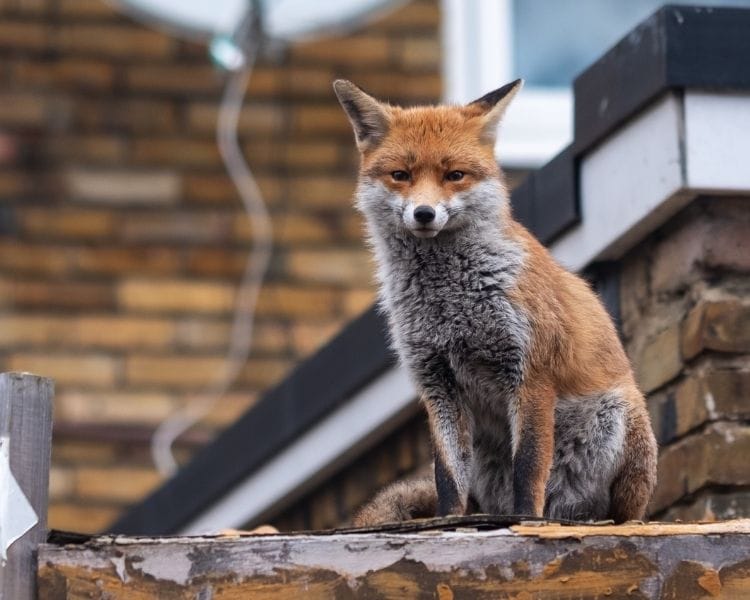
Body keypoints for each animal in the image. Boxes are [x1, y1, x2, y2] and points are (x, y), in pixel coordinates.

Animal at [332, 78, 658, 526]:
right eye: (401, 175)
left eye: (455, 175)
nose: (424, 213)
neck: (450, 303)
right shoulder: (437, 384)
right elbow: (447, 478)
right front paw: (448, 523)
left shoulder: (531, 373)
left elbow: (529, 467)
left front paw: (526, 521)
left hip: (619, 417)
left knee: (619, 509)